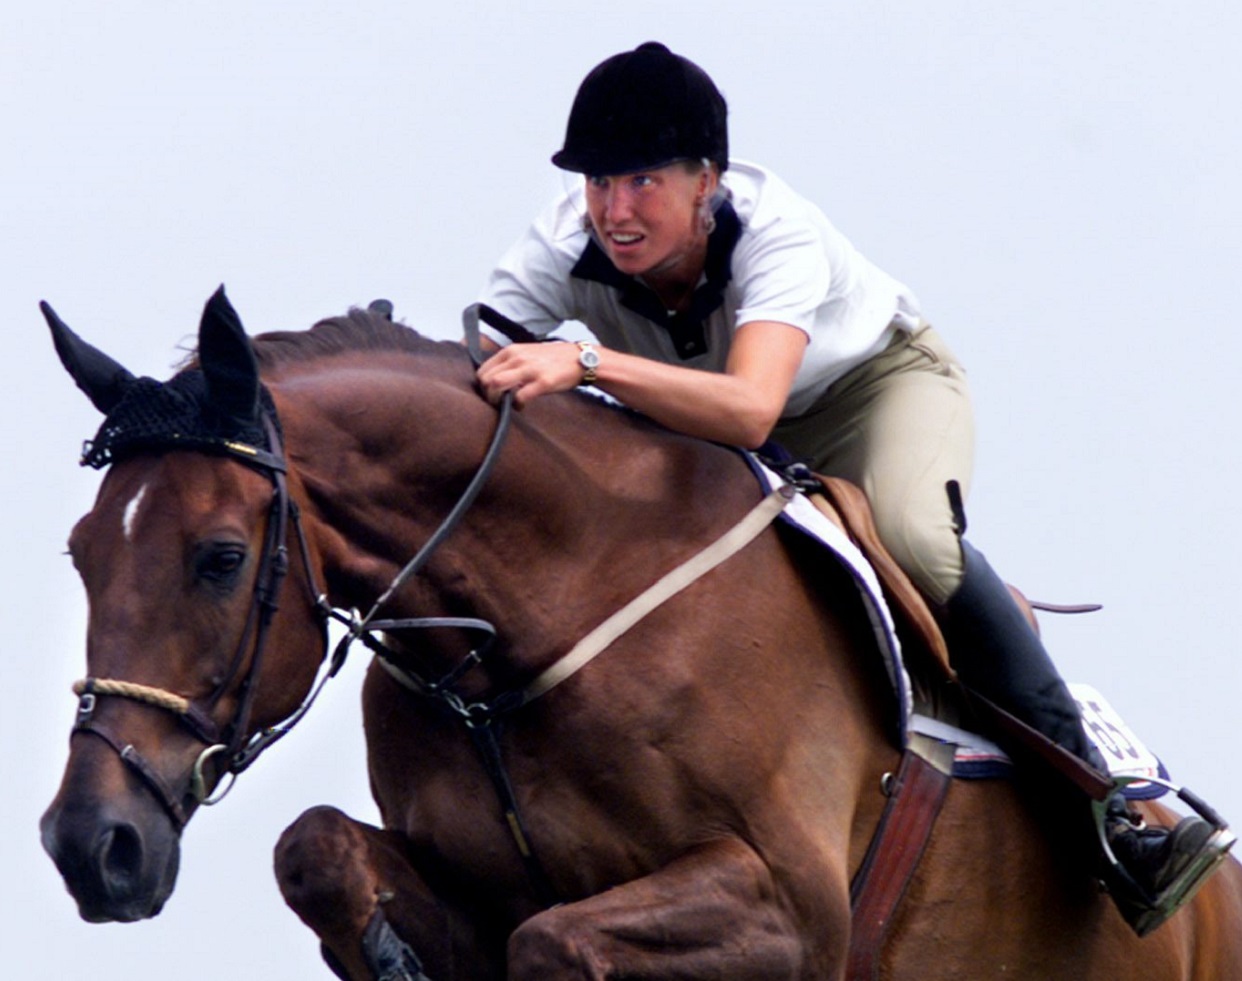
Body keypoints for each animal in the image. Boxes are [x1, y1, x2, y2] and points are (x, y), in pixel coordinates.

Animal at [38, 288, 1242, 978]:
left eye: (219, 558)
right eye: (81, 554)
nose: (90, 846)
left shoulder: (791, 906)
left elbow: (553, 940)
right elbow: (317, 849)